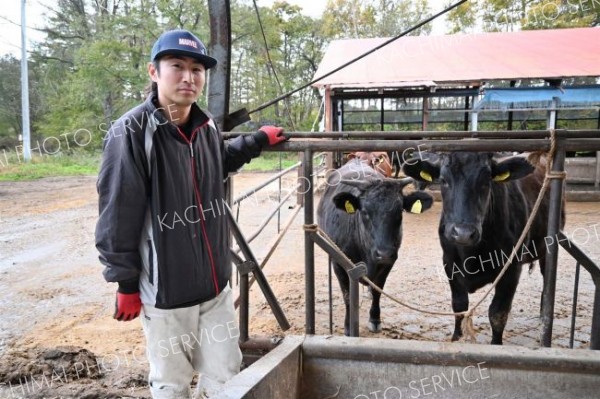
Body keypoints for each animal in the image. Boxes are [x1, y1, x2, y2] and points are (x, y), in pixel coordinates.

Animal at [316, 158, 434, 336]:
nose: (384, 253)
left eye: (399, 211)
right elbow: (347, 294)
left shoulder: (389, 262)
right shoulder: (339, 264)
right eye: (365, 211)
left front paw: (375, 319)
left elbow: (378, 290)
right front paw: (349, 326)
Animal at [404, 152, 564, 346]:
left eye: (487, 181)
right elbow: (459, 305)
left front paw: (496, 344)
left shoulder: (511, 269)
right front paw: (456, 338)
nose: (463, 233)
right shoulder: (449, 263)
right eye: (443, 180)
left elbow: (497, 313)